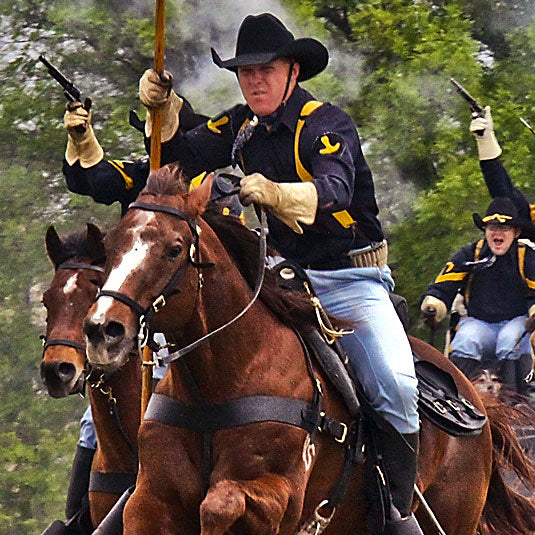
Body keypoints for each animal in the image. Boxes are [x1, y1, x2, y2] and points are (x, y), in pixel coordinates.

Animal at [83, 166, 535, 535]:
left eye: (174, 248)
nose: (103, 330)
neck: (217, 383)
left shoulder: (277, 498)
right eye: (110, 248)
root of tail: (475, 403)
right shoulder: (149, 502)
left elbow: (218, 505)